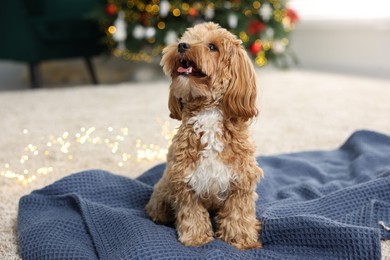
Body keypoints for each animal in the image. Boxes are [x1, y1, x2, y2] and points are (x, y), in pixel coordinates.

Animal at [145, 21, 264, 250]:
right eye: (186, 39)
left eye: (212, 47)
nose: (182, 45)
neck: (208, 112)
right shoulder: (185, 182)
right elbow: (192, 214)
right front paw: (196, 239)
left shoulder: (241, 182)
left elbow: (238, 215)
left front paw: (242, 240)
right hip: (163, 190)